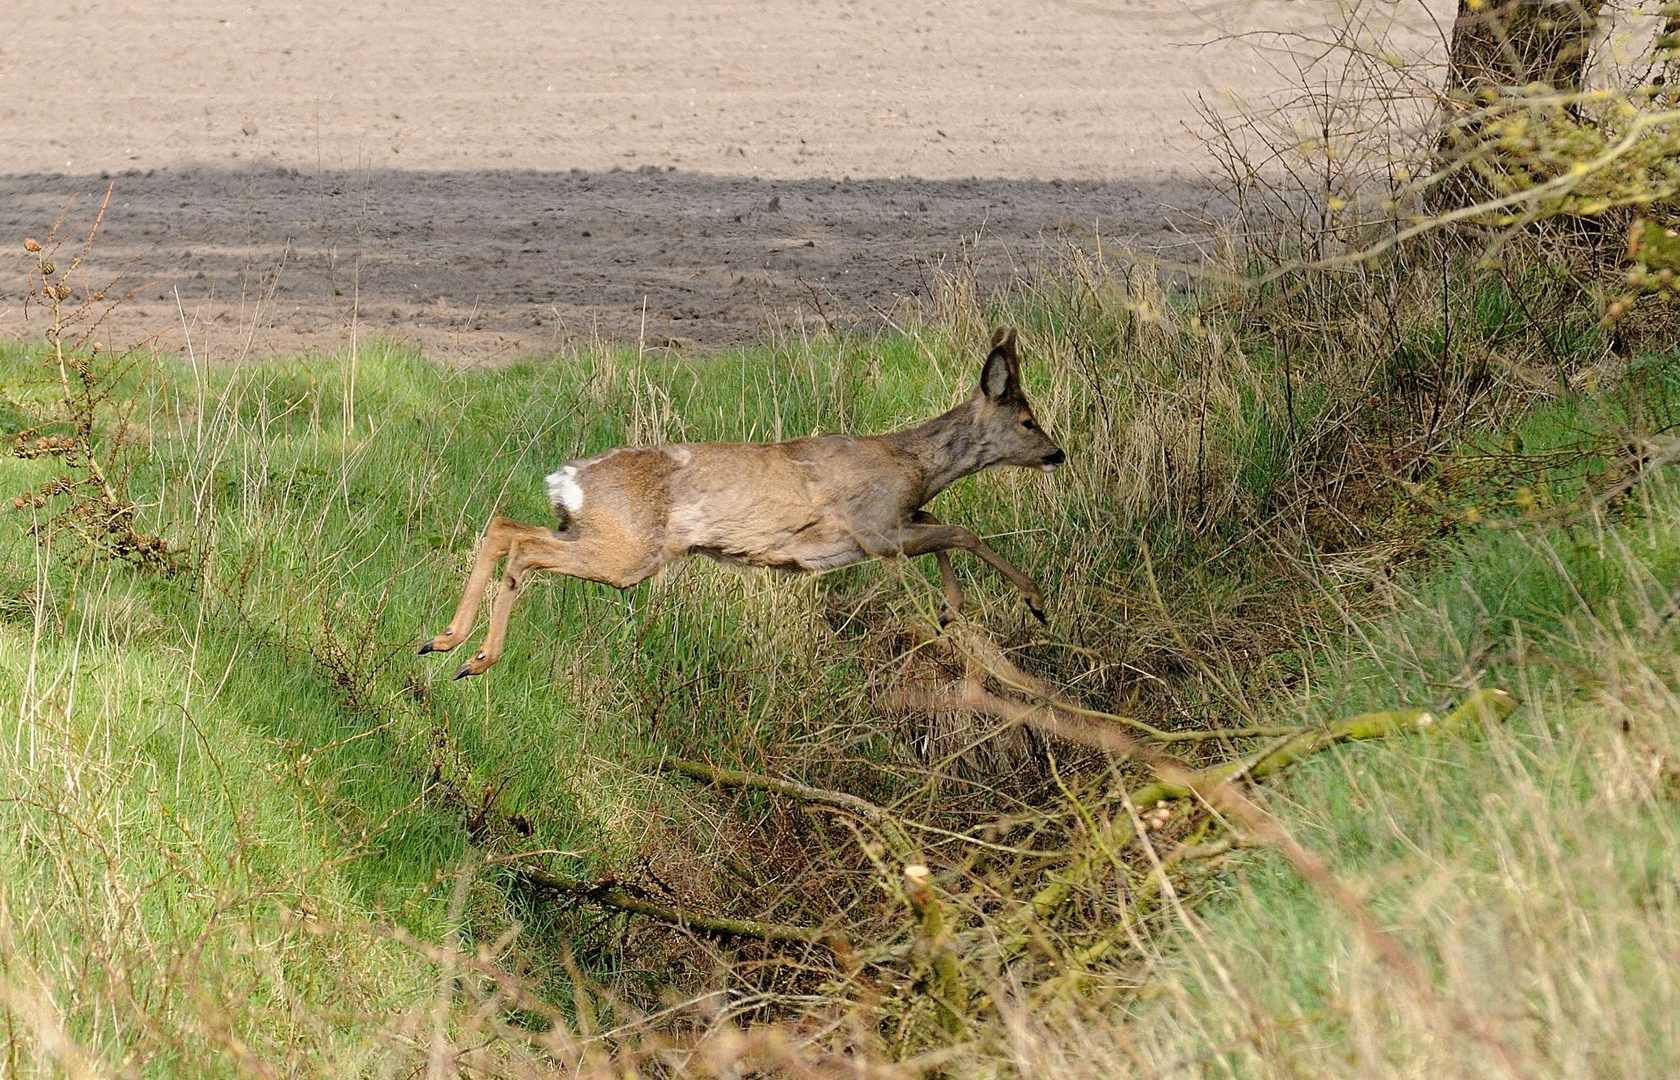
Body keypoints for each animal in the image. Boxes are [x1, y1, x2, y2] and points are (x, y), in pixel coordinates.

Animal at [426, 334, 1068, 681]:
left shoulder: (888, 528)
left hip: (591, 533)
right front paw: (1031, 603)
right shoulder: (874, 529)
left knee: (503, 526)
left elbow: (944, 526)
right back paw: (477, 656)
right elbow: (961, 530)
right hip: (628, 554)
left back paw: (444, 642)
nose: (1057, 453)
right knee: (522, 547)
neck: (912, 465)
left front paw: (949, 611)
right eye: (1027, 419)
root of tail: (569, 478)